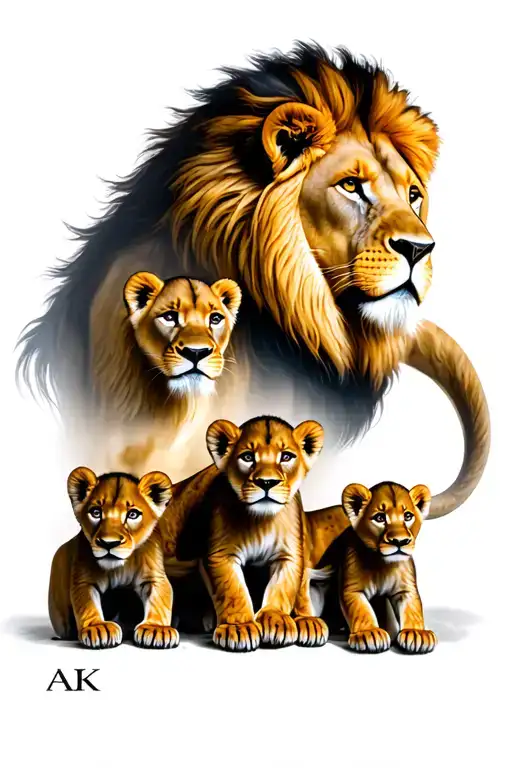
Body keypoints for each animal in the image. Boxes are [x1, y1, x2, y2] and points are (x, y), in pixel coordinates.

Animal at [49, 467, 178, 649]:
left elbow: (160, 599)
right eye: (96, 513)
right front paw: (98, 628)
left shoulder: (155, 576)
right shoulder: (84, 579)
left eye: (132, 514)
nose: (109, 543)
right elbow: (87, 604)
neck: (120, 567)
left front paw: (155, 629)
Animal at [158, 415, 329, 652]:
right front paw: (239, 627)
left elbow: (283, 588)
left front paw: (277, 620)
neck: (262, 521)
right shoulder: (221, 555)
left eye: (286, 456)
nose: (266, 482)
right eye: (247, 457)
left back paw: (308, 622)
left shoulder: (289, 556)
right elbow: (233, 591)